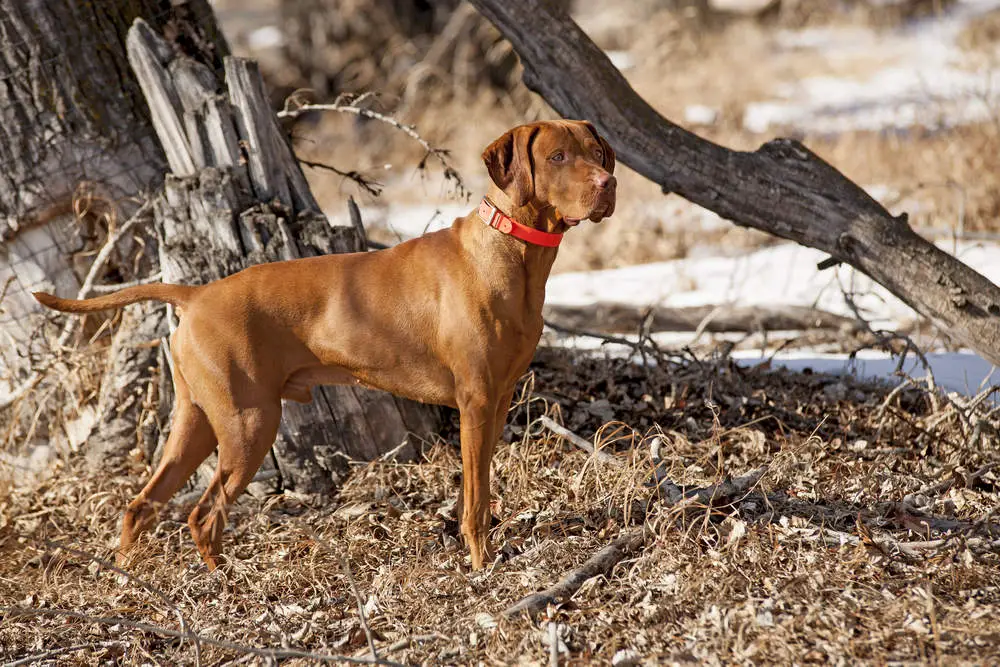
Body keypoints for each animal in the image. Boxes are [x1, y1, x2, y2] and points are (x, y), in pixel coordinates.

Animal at [33, 118, 616, 568]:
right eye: (558, 156)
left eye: (596, 153)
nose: (609, 183)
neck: (510, 253)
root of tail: (195, 294)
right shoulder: (474, 403)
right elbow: (474, 501)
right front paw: (480, 563)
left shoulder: (497, 402)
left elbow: (479, 492)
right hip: (250, 424)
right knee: (203, 514)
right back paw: (225, 584)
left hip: (196, 421)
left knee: (143, 504)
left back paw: (131, 574)